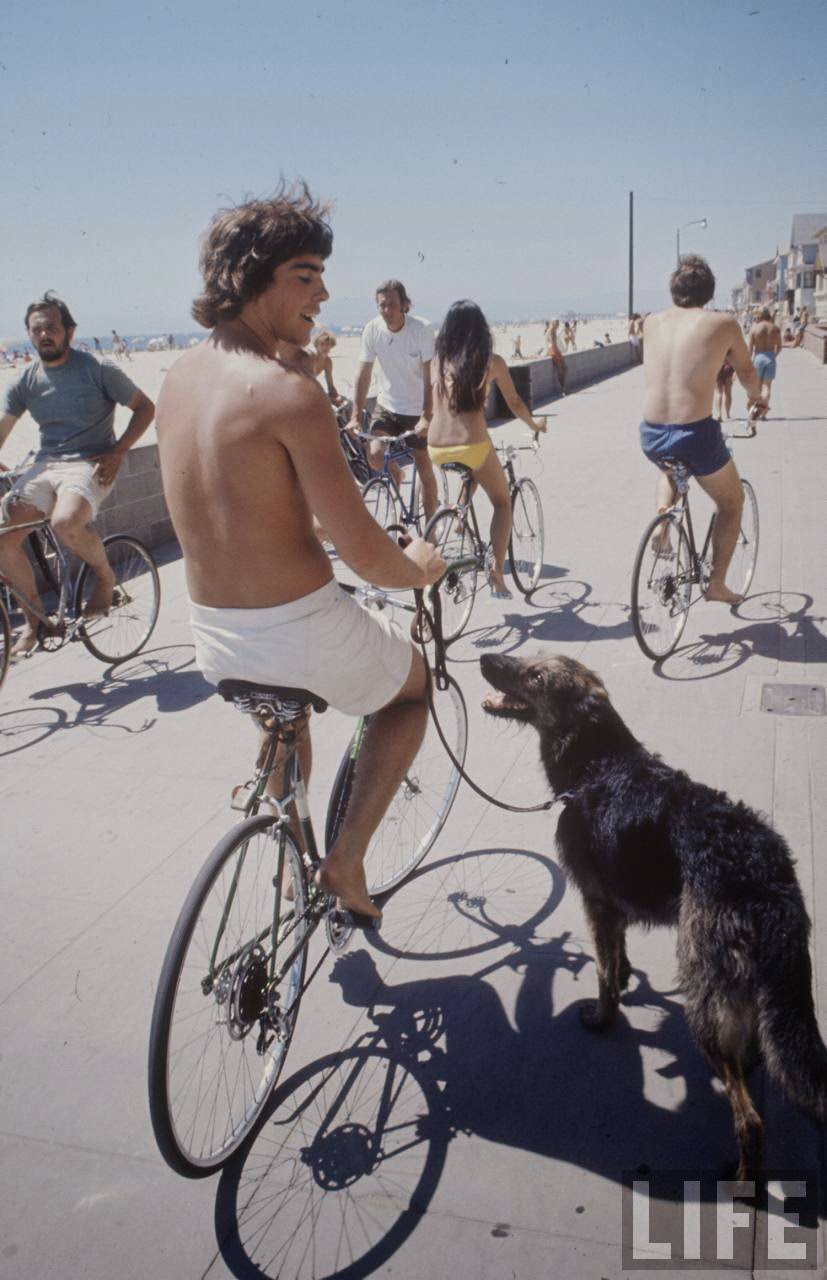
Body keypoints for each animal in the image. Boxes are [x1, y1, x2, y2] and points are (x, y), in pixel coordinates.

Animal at [483, 650, 824, 1177]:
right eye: (527, 659)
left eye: (535, 676)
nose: (484, 658)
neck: (599, 764)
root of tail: (764, 875)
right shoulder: (613, 907)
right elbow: (617, 959)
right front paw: (627, 979)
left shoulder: (596, 903)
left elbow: (603, 973)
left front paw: (604, 1018)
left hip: (703, 994)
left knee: (749, 1119)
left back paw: (743, 1176)